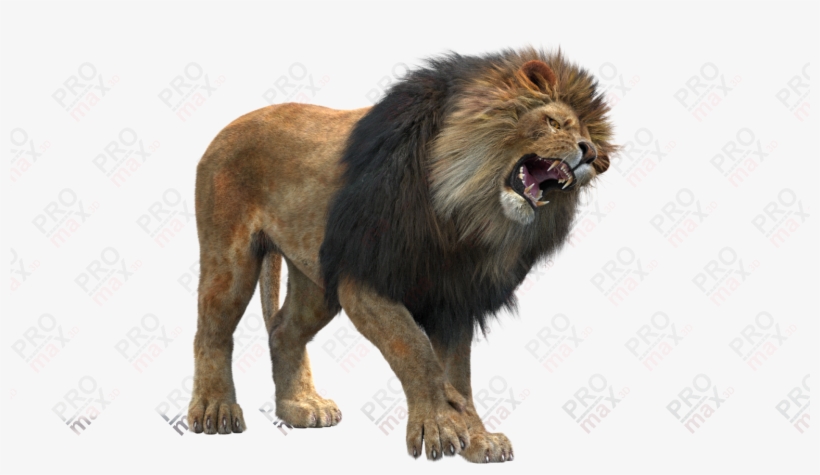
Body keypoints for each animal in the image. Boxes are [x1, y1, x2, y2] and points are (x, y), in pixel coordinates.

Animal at [187, 47, 614, 463]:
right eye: (555, 123)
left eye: (588, 137)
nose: (590, 153)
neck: (464, 215)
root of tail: (233, 123)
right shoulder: (363, 278)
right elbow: (415, 350)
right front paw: (440, 427)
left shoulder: (453, 299)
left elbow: (458, 374)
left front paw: (476, 437)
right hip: (231, 258)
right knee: (212, 332)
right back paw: (214, 411)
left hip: (316, 281)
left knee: (282, 330)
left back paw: (301, 406)